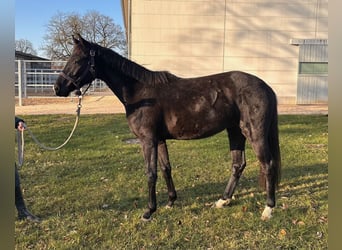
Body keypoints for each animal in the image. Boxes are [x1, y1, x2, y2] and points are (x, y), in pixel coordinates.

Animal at [54, 33, 282, 221]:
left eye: (77, 60)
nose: (57, 88)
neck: (140, 93)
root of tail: (266, 87)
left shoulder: (147, 140)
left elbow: (151, 173)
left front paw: (148, 211)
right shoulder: (160, 139)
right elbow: (165, 169)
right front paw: (171, 201)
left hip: (254, 133)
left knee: (267, 165)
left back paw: (268, 209)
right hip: (235, 131)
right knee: (238, 165)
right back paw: (222, 201)